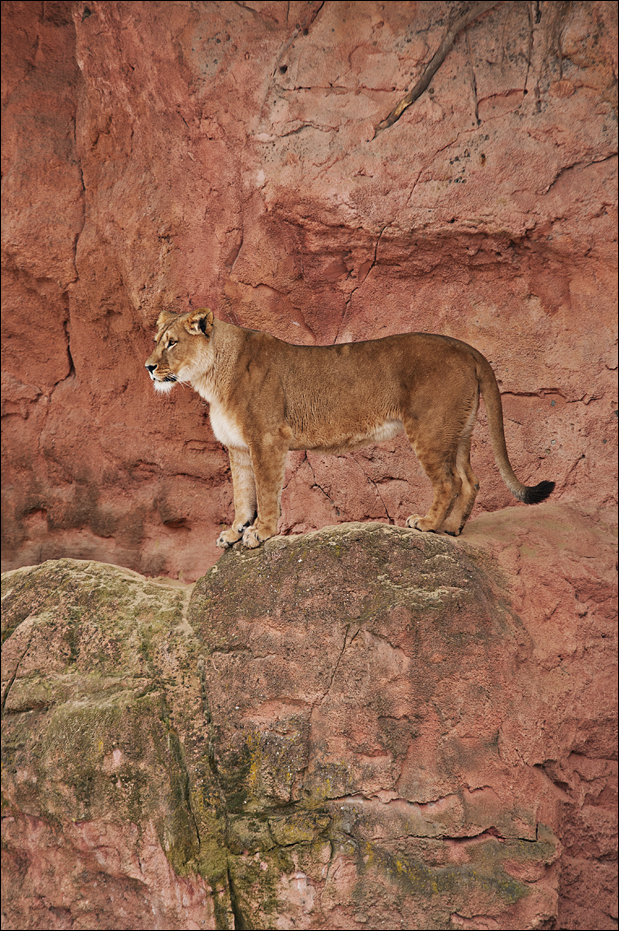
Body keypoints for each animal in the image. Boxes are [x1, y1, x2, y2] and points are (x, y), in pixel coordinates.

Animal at [145, 308, 554, 549]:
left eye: (172, 343)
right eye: (156, 342)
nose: (149, 367)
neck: (213, 378)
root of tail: (467, 347)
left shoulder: (268, 439)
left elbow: (265, 491)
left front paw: (260, 533)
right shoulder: (239, 447)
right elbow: (242, 494)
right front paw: (234, 532)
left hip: (430, 428)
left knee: (449, 482)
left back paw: (426, 523)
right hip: (459, 430)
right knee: (470, 480)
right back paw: (451, 529)